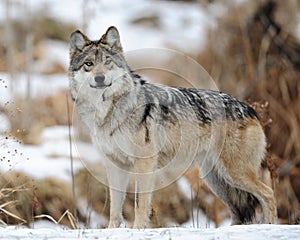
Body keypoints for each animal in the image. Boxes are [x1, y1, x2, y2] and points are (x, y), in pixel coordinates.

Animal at [69, 26, 276, 229]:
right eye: (89, 64)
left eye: (108, 62)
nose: (100, 78)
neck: (106, 111)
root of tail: (249, 109)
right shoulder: (115, 165)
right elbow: (115, 206)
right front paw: (113, 230)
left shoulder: (144, 164)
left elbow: (140, 204)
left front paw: (137, 230)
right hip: (216, 179)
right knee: (238, 213)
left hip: (235, 174)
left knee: (268, 193)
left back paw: (269, 224)